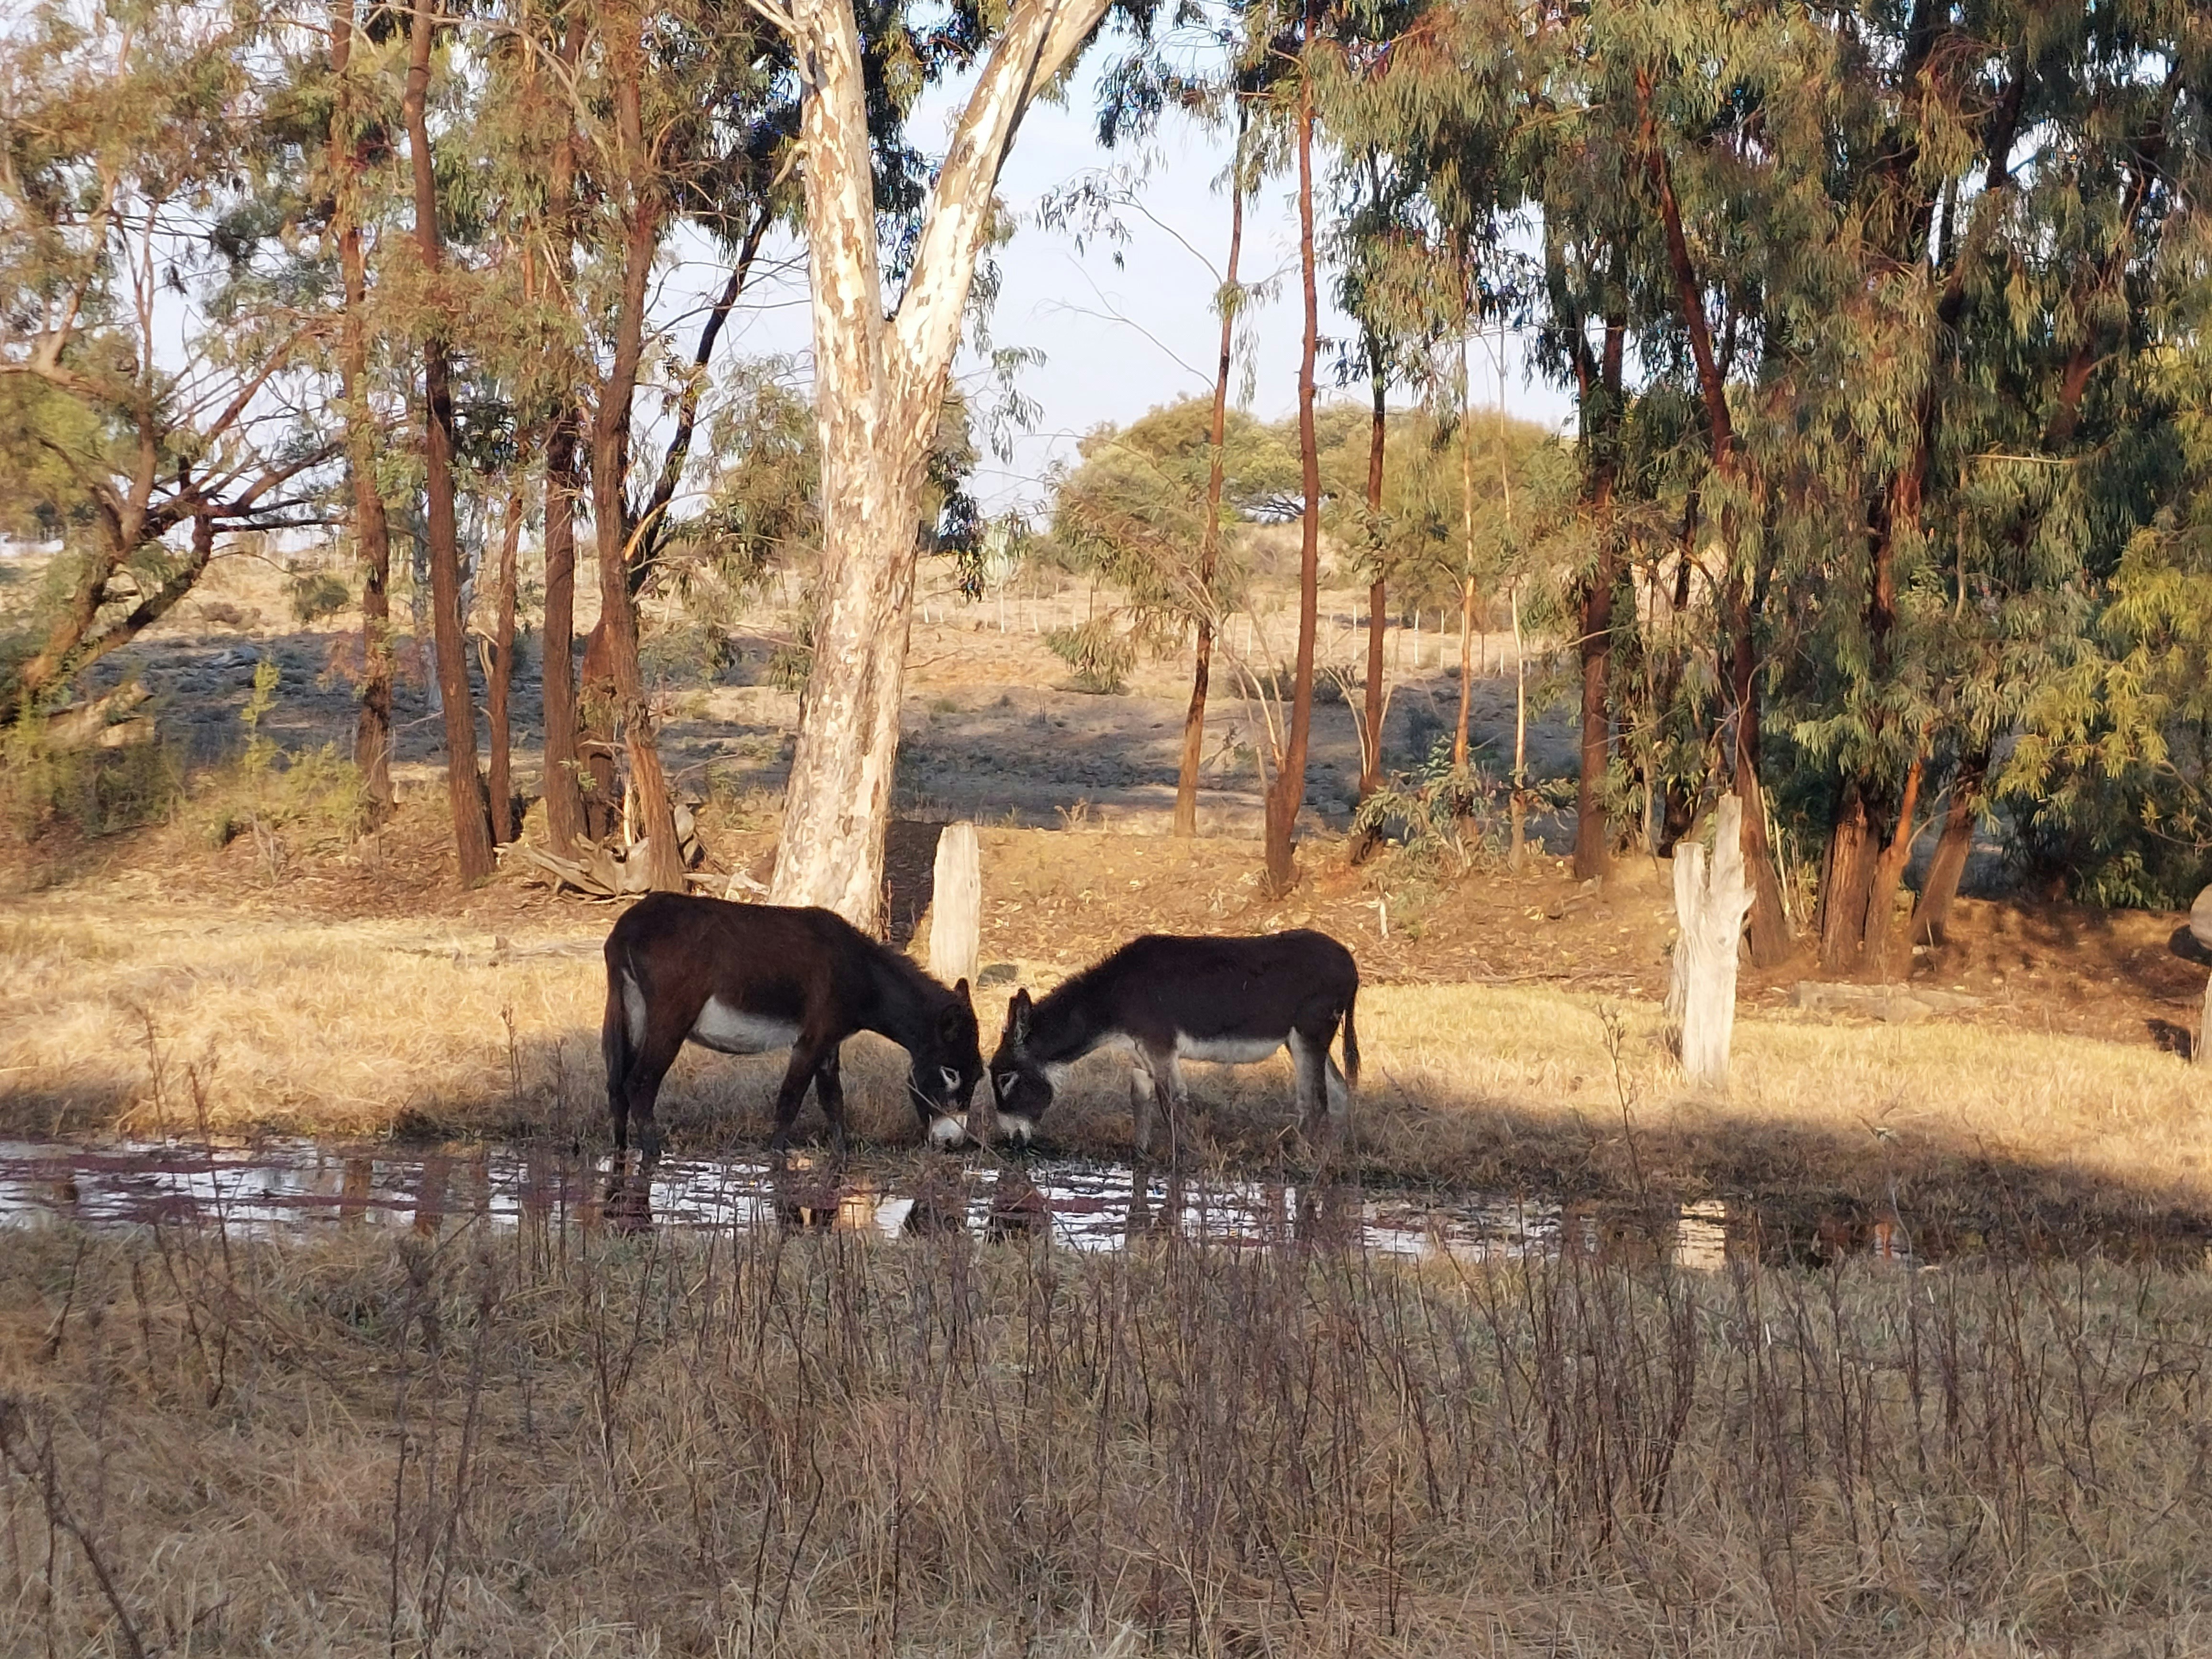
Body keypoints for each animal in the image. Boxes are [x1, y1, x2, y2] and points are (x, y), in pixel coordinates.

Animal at [601, 893, 982, 1159]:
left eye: (978, 1076)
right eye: (951, 1073)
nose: (953, 1143)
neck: (862, 971)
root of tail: (628, 927)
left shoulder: (830, 1043)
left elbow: (833, 1101)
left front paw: (841, 1154)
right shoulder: (812, 1040)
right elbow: (791, 1099)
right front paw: (776, 1154)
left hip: (629, 1009)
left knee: (617, 1084)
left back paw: (621, 1151)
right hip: (671, 1018)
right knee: (640, 1083)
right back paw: (654, 1155)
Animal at [987, 930, 1359, 1159]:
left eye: (1006, 1078)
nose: (1011, 1140)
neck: (1114, 997)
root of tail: (1350, 963)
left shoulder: (1160, 1046)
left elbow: (1171, 1102)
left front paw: (1182, 1159)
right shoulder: (1139, 1055)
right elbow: (1140, 1101)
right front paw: (1141, 1153)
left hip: (1310, 1031)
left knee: (1315, 1101)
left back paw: (1302, 1159)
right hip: (1304, 1039)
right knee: (1339, 1090)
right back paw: (1331, 1158)